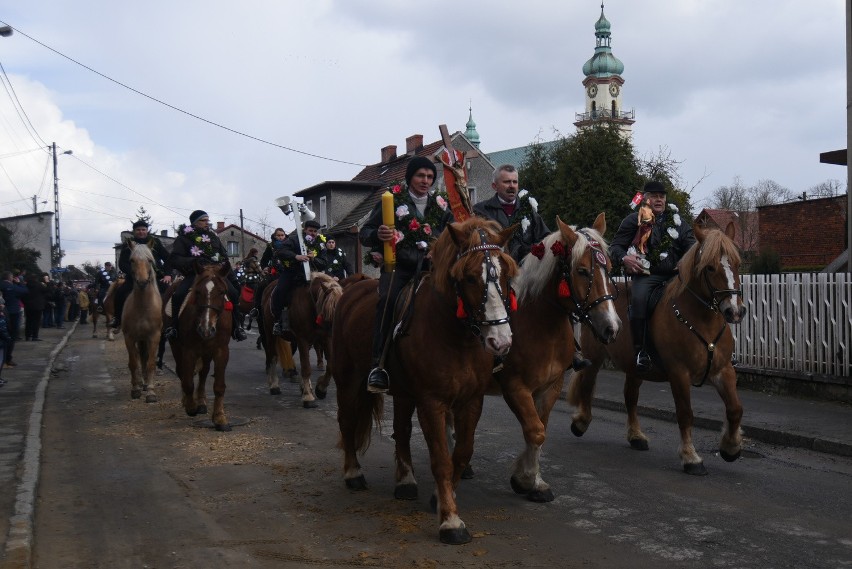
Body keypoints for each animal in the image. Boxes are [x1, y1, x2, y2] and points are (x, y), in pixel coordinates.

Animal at [166, 262, 235, 430]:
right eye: (197, 292)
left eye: (222, 292)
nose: (206, 329)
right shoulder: (188, 350)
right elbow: (188, 381)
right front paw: (191, 407)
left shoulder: (221, 350)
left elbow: (219, 385)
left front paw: (220, 418)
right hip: (177, 346)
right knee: (182, 372)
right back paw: (188, 401)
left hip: (206, 352)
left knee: (203, 372)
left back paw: (202, 402)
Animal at [258, 272, 342, 406]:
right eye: (330, 311)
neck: (312, 305)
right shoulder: (303, 339)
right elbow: (306, 367)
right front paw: (308, 397)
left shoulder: (326, 338)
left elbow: (330, 366)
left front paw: (320, 389)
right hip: (269, 333)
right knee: (273, 356)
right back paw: (274, 385)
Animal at [572, 223, 744, 474]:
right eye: (710, 267)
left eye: (737, 263)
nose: (735, 311)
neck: (702, 319)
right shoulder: (679, 373)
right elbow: (685, 413)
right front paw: (691, 457)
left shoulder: (723, 370)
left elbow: (735, 409)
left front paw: (731, 448)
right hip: (593, 357)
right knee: (587, 385)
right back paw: (580, 423)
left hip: (635, 368)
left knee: (630, 397)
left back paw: (636, 436)